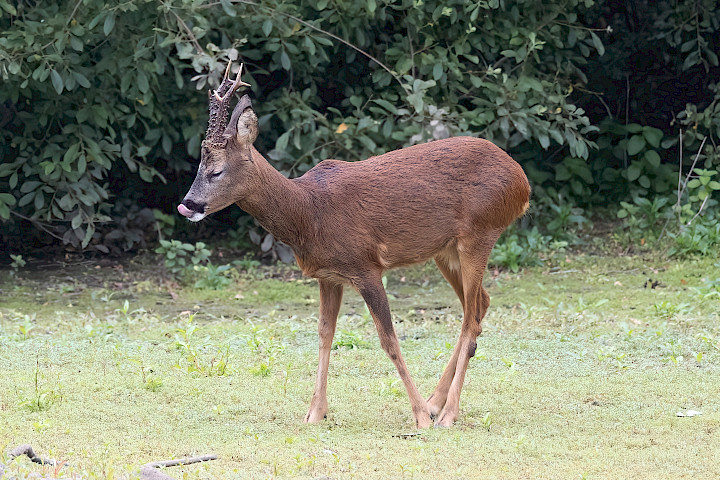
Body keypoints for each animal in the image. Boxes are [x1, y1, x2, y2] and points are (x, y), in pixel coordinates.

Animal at [177, 63, 531, 428]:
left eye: (216, 171)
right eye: (199, 167)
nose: (187, 204)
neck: (309, 213)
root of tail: (522, 182)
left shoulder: (366, 266)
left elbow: (388, 339)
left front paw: (418, 416)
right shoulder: (328, 275)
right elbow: (324, 334)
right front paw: (315, 412)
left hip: (480, 231)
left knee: (470, 318)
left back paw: (445, 413)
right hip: (445, 250)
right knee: (478, 305)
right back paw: (437, 402)